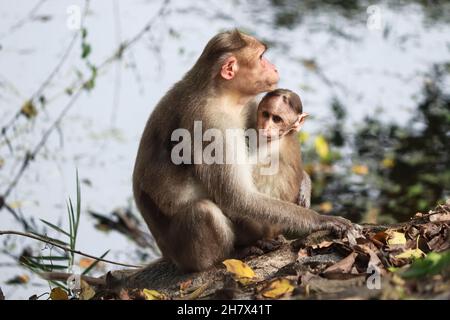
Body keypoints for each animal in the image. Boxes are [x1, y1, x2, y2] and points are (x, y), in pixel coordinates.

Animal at [132, 28, 354, 272]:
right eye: (261, 57)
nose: (274, 67)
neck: (220, 94)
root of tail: (167, 254)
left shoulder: (248, 106)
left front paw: (305, 182)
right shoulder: (212, 123)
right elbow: (238, 197)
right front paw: (320, 219)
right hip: (184, 254)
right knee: (204, 211)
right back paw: (230, 254)